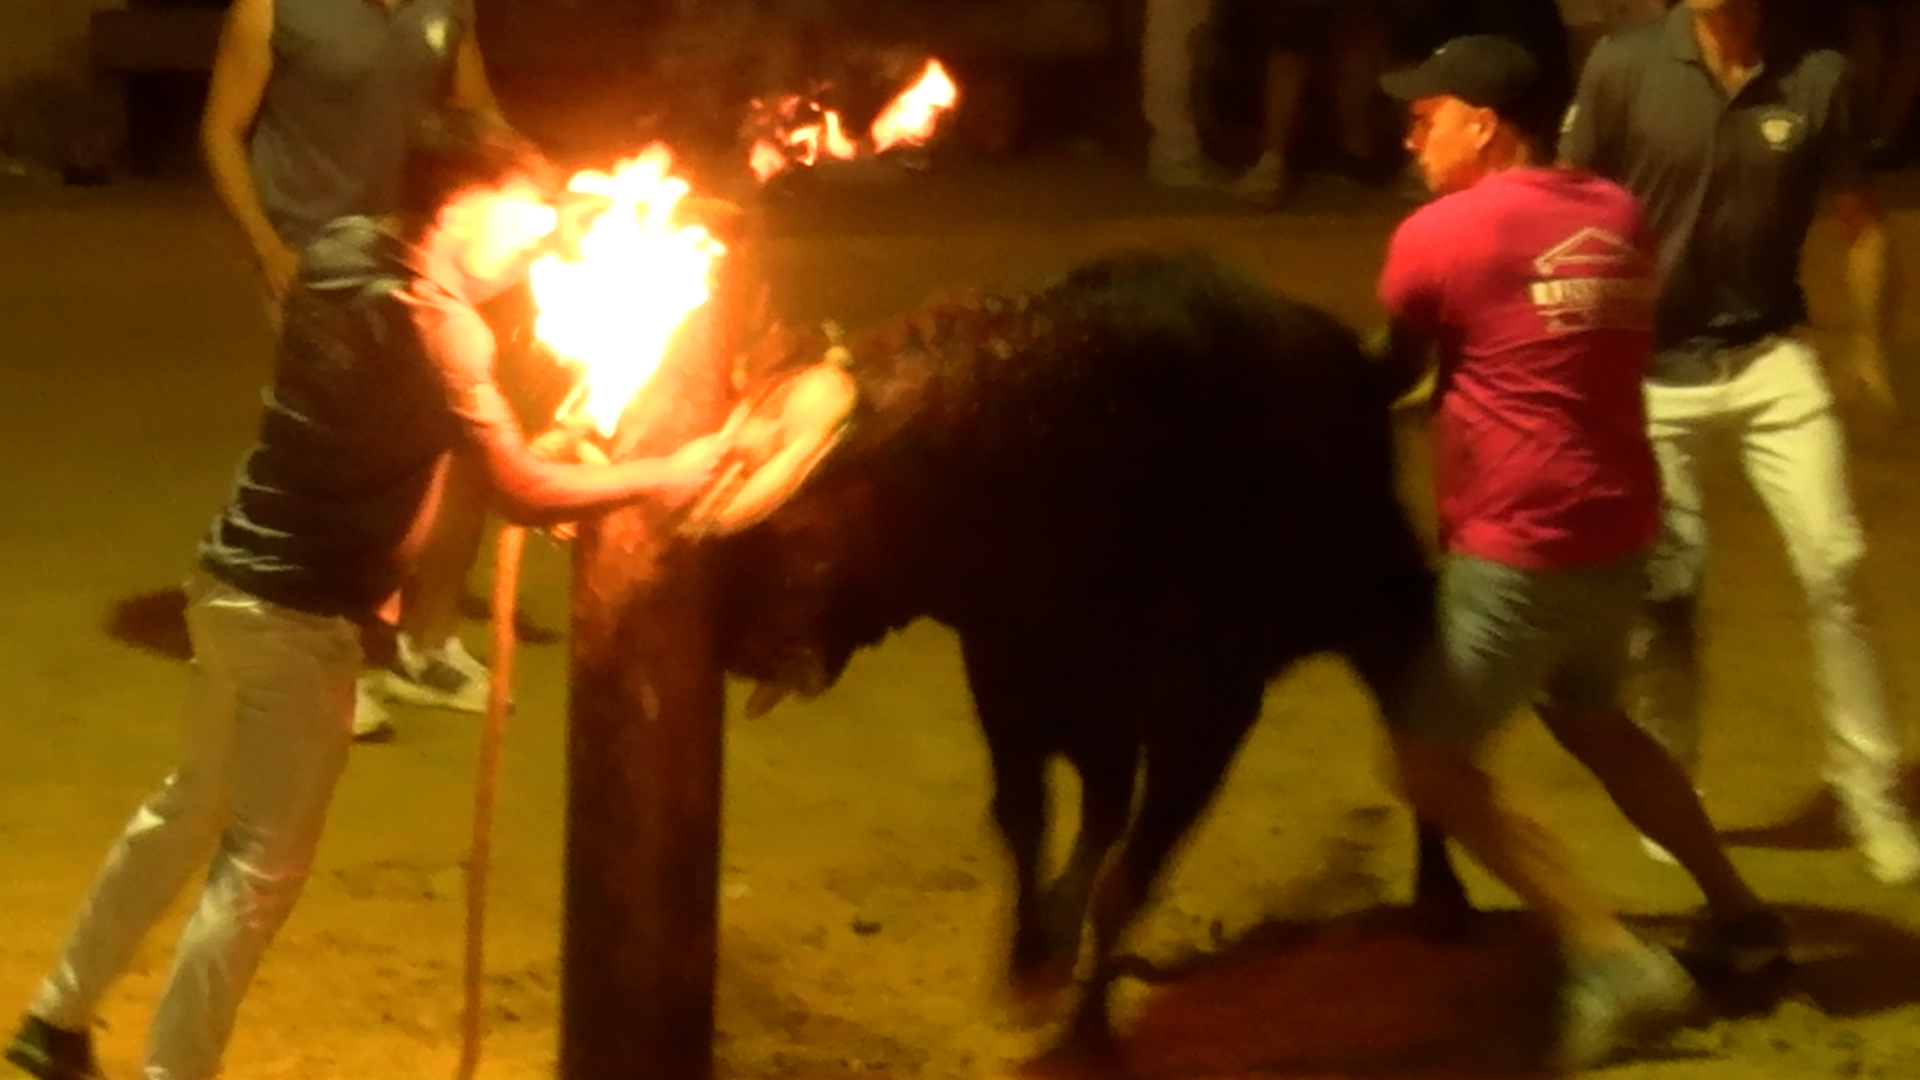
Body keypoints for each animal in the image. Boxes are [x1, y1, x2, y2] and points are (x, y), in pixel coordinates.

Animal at [714, 247, 1459, 1037]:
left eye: (797, 523)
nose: (736, 648)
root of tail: (1360, 367)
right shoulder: (1010, 687)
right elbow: (1027, 822)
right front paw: (1027, 961)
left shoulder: (1205, 716)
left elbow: (1126, 875)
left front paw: (1086, 1025)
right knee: (1104, 802)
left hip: (1381, 605)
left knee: (1417, 718)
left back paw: (1440, 895)